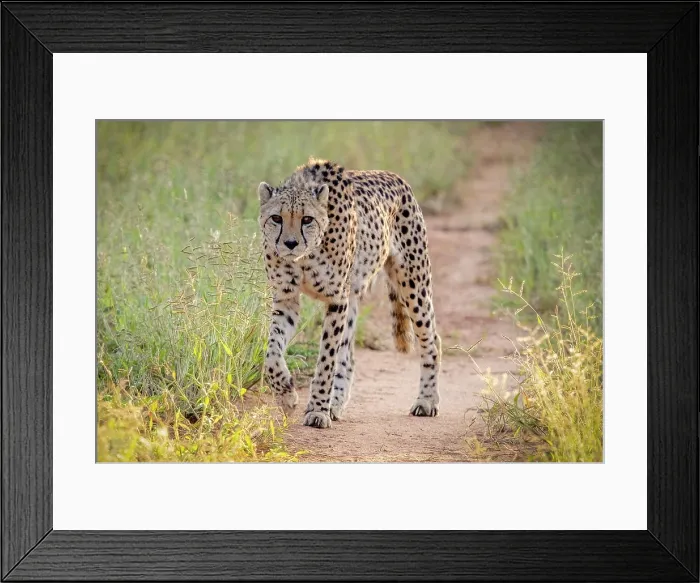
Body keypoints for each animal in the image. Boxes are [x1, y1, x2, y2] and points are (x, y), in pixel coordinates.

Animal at [257, 157, 441, 429]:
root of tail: (395, 176)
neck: (306, 257)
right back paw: (335, 404)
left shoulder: (336, 299)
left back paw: (427, 401)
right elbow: (271, 353)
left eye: (307, 219)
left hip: (413, 283)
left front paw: (317, 410)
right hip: (354, 298)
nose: (290, 244)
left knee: (432, 339)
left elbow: (326, 360)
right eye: (276, 218)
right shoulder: (286, 298)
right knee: (348, 358)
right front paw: (287, 394)